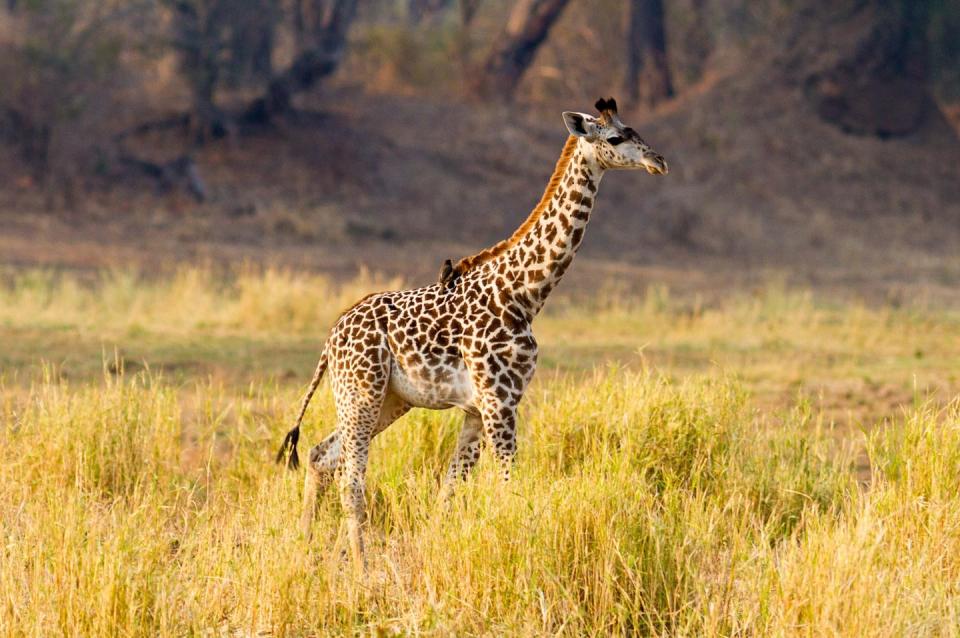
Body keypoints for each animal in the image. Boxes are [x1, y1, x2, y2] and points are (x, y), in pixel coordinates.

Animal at [278, 97, 668, 572]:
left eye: (636, 130)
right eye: (614, 137)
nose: (658, 161)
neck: (524, 294)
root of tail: (330, 339)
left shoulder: (476, 409)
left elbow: (448, 492)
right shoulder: (500, 400)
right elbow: (508, 486)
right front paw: (524, 558)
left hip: (389, 400)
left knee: (321, 455)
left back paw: (306, 549)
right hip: (362, 392)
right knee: (351, 480)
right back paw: (361, 566)